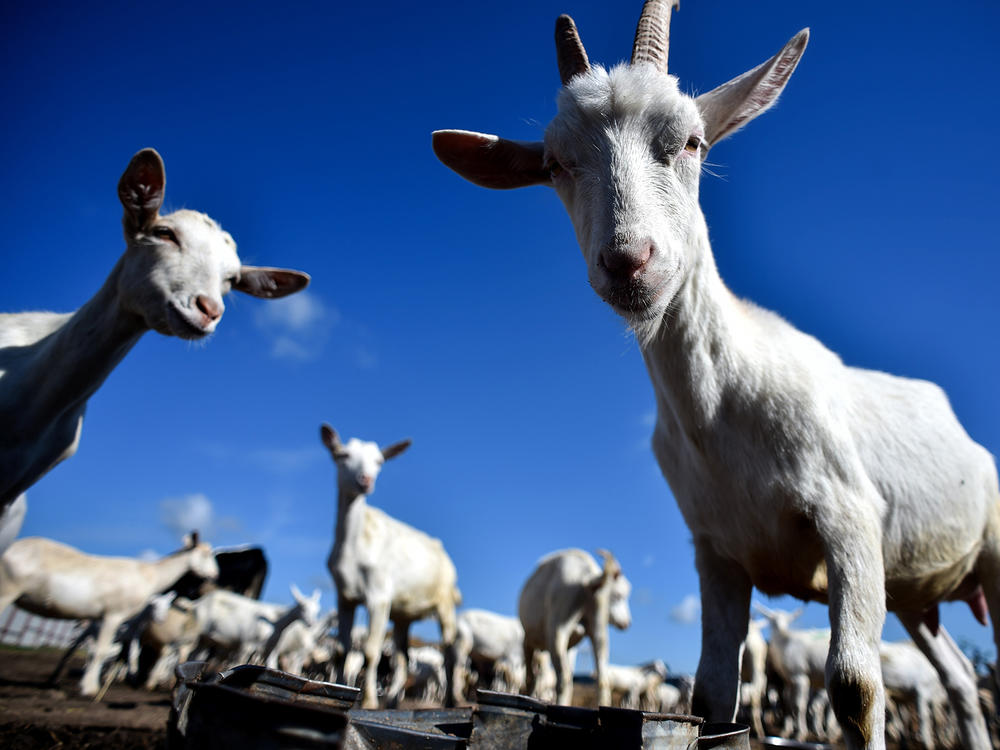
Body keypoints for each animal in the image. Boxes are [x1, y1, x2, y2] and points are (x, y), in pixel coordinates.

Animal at [0, 536, 217, 700]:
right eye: (206, 554)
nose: (215, 575)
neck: (150, 575)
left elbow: (125, 655)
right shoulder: (114, 614)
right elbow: (102, 652)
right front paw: (90, 689)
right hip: (8, 591)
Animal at [320, 426, 460, 708]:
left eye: (379, 461)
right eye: (343, 455)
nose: (365, 480)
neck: (354, 544)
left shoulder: (379, 596)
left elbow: (370, 651)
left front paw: (368, 701)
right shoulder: (344, 597)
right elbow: (341, 651)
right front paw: (340, 688)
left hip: (444, 602)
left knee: (449, 653)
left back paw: (450, 699)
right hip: (403, 615)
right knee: (403, 659)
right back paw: (394, 701)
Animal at [516, 548, 632, 708]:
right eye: (618, 595)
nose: (627, 623)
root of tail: (588, 578)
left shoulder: (528, 640)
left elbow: (531, 677)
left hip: (558, 627)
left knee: (563, 678)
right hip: (598, 626)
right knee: (602, 679)